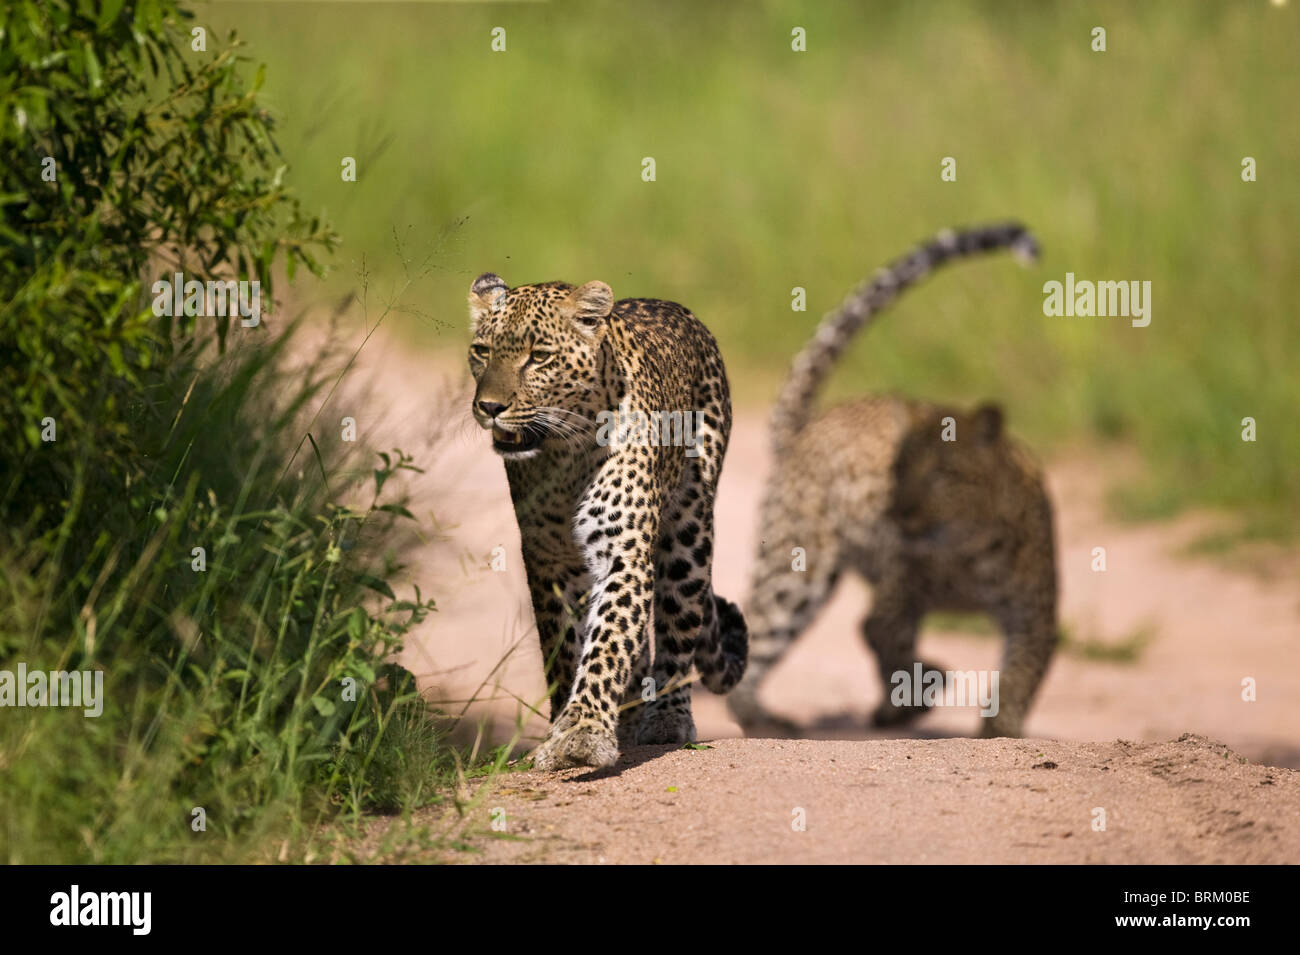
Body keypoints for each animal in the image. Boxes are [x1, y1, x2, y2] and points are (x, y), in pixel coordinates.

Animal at [470, 268, 754, 769]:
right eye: (481, 351)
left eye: (538, 357)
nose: (490, 407)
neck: (562, 454)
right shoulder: (548, 561)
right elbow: (565, 648)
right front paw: (569, 724)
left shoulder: (622, 551)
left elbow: (607, 640)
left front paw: (582, 733)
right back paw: (628, 715)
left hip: (689, 530)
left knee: (677, 628)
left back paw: (666, 718)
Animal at [728, 222, 1060, 738]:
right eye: (897, 469)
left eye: (944, 474)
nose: (899, 514)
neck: (970, 551)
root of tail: (806, 428)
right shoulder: (898, 591)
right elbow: (882, 633)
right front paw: (923, 685)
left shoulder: (1034, 614)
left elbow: (1021, 672)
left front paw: (1001, 725)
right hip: (795, 567)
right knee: (759, 632)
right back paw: (765, 721)